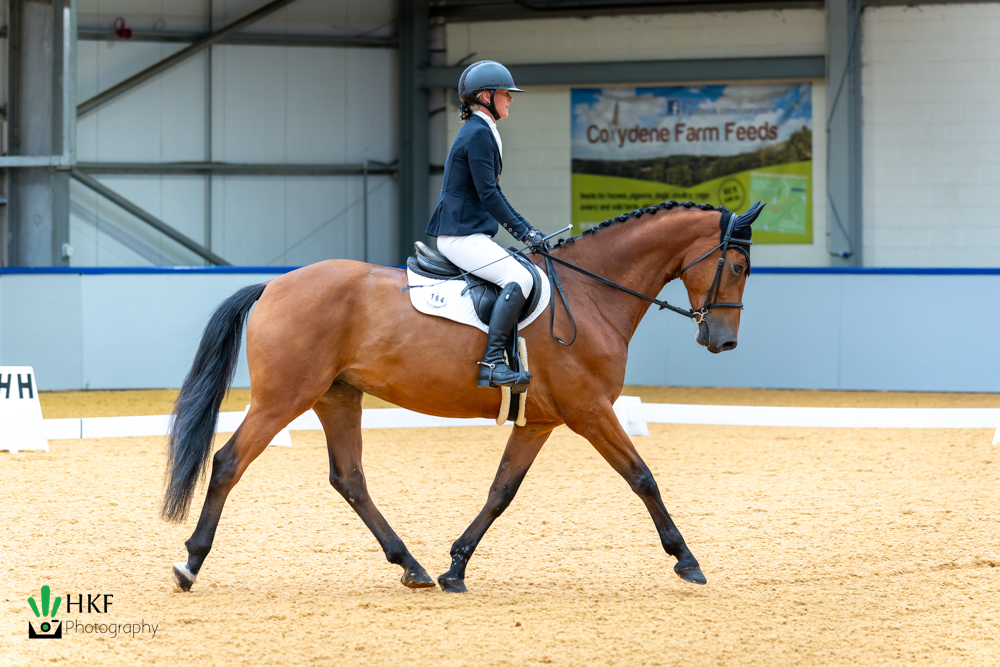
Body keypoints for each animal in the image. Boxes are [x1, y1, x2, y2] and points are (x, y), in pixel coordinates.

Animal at [162, 199, 761, 594]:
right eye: (737, 266)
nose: (723, 341)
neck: (593, 293)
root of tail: (273, 285)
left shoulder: (538, 421)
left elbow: (501, 492)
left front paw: (456, 567)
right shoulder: (590, 410)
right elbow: (642, 477)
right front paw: (686, 560)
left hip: (337, 396)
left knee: (349, 479)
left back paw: (413, 566)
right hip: (283, 397)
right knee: (228, 462)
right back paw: (190, 564)